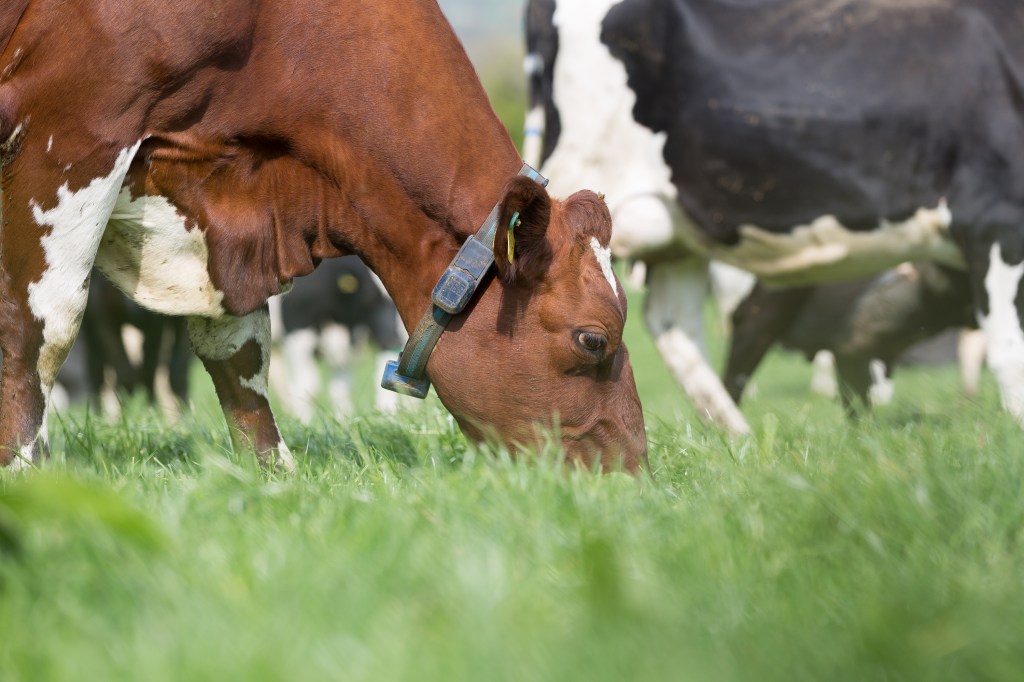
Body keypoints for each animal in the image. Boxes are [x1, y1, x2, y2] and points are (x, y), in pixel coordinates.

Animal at [0, 0, 643, 471]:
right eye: (593, 339)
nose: (636, 475)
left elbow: (240, 350)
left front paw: (272, 474)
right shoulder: (71, 124)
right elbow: (40, 326)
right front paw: (26, 469)